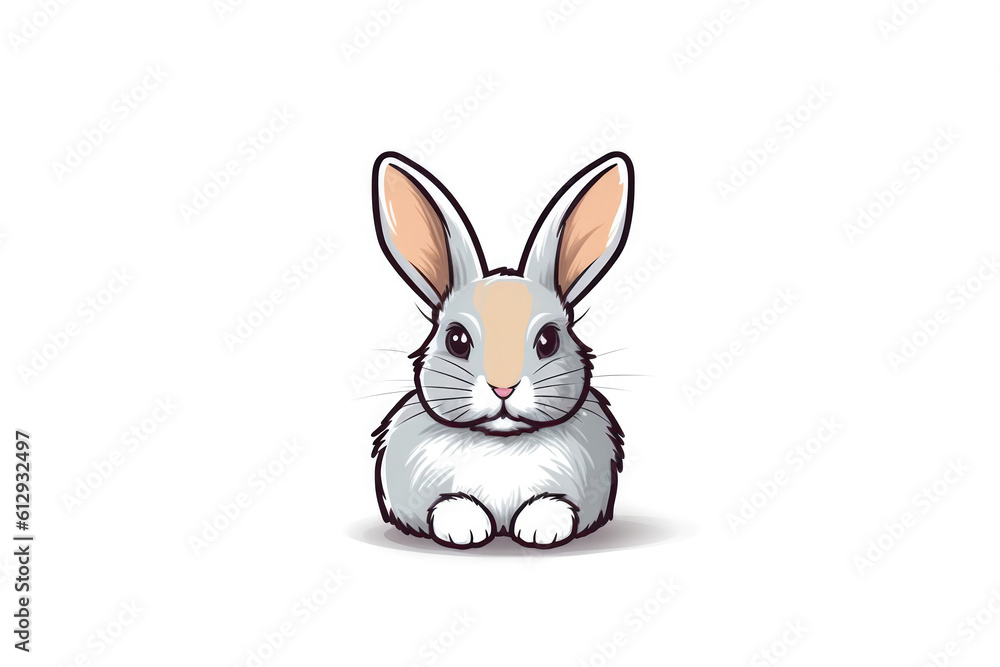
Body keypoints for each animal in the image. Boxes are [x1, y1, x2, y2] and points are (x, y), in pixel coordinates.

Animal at [369, 150, 634, 549]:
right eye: (456, 340)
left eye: (549, 340)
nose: (503, 388)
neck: (502, 441)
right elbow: (445, 505)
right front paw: (464, 527)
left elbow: (557, 505)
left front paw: (543, 528)